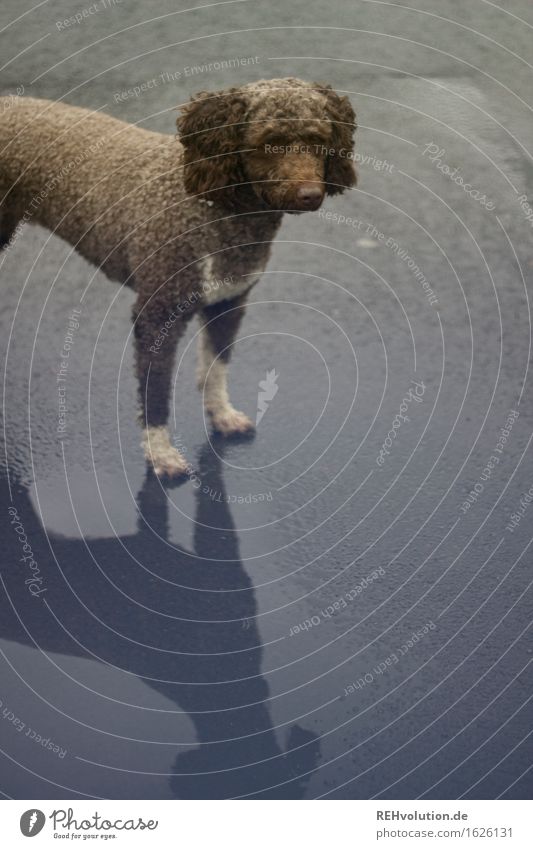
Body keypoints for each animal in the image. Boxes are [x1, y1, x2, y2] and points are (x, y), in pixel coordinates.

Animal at [2, 77, 358, 476]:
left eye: (319, 138)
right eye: (267, 141)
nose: (310, 195)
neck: (212, 206)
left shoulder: (229, 300)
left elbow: (215, 368)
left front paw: (221, 414)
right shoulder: (157, 315)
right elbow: (155, 393)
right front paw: (160, 454)